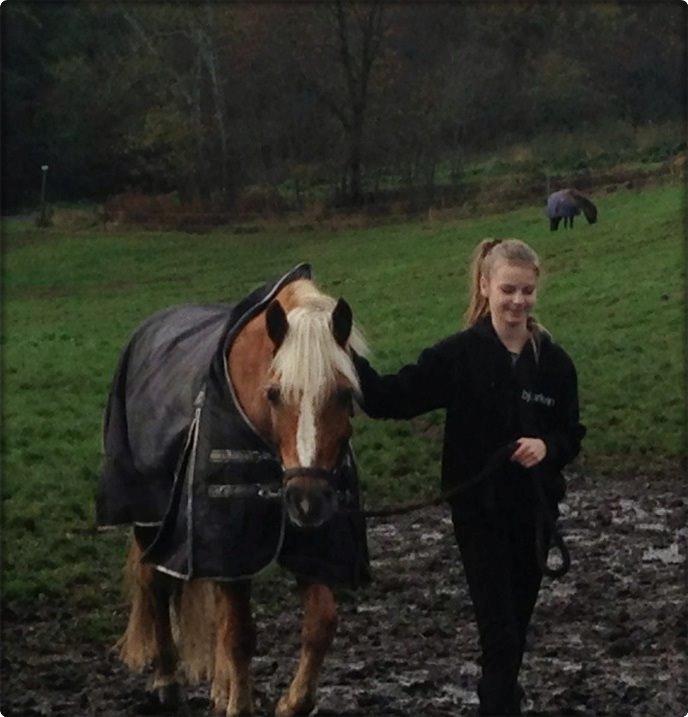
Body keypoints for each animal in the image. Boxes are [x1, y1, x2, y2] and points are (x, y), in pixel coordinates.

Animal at [97, 264, 370, 716]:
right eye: (274, 394)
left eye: (346, 393)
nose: (307, 501)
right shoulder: (226, 540)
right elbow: (240, 634)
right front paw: (240, 706)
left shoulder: (300, 546)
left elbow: (320, 623)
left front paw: (290, 702)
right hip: (150, 520)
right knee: (155, 586)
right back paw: (167, 680)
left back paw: (219, 689)